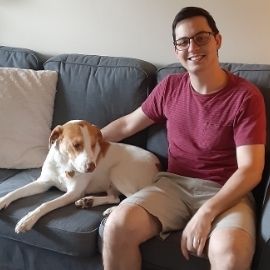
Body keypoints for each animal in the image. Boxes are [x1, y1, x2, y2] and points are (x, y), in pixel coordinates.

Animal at [0, 119, 160, 233]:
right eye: (76, 145)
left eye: (94, 145)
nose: (91, 167)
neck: (64, 164)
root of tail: (157, 164)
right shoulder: (42, 183)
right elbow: (16, 191)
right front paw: (3, 200)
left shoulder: (73, 193)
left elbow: (46, 204)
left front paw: (28, 219)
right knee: (114, 197)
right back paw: (89, 201)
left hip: (117, 172)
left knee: (131, 199)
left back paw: (110, 210)